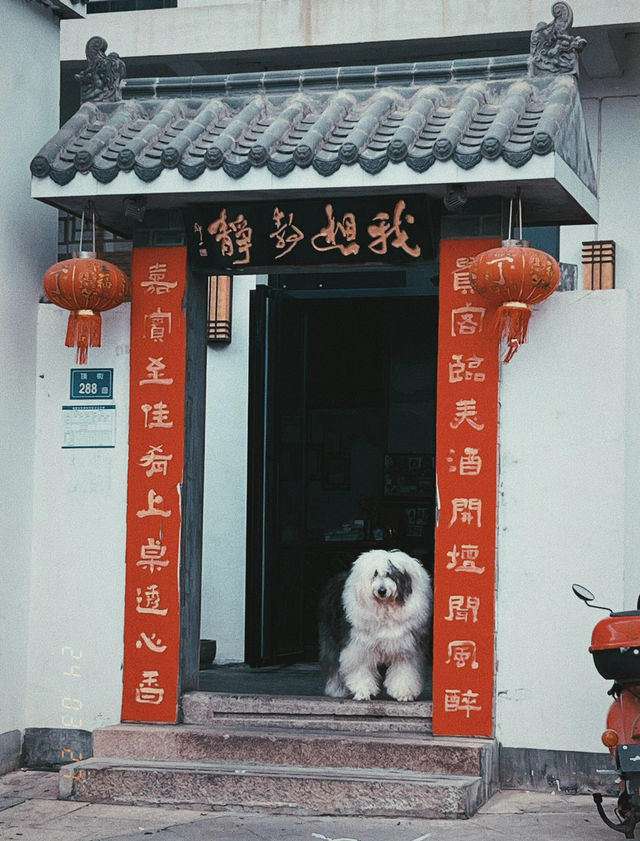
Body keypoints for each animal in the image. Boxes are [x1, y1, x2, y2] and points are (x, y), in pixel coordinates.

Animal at [318, 548, 432, 700]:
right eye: (375, 573)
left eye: (390, 574)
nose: (382, 591)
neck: (385, 608)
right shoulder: (358, 647)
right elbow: (360, 668)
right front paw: (362, 692)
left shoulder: (405, 648)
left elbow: (404, 671)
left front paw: (403, 693)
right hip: (331, 638)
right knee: (333, 665)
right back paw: (337, 690)